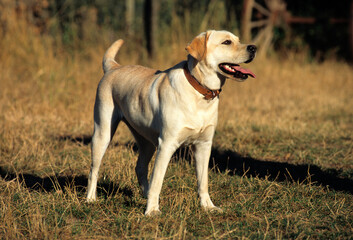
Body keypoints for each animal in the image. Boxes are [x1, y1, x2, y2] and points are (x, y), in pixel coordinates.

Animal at [86, 30, 254, 216]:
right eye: (226, 42)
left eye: (238, 40)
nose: (253, 48)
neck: (199, 91)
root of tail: (114, 67)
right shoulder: (167, 144)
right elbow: (157, 180)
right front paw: (152, 211)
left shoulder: (203, 145)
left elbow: (203, 181)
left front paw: (208, 206)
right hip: (103, 133)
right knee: (94, 170)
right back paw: (91, 199)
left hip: (147, 142)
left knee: (140, 167)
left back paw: (144, 195)